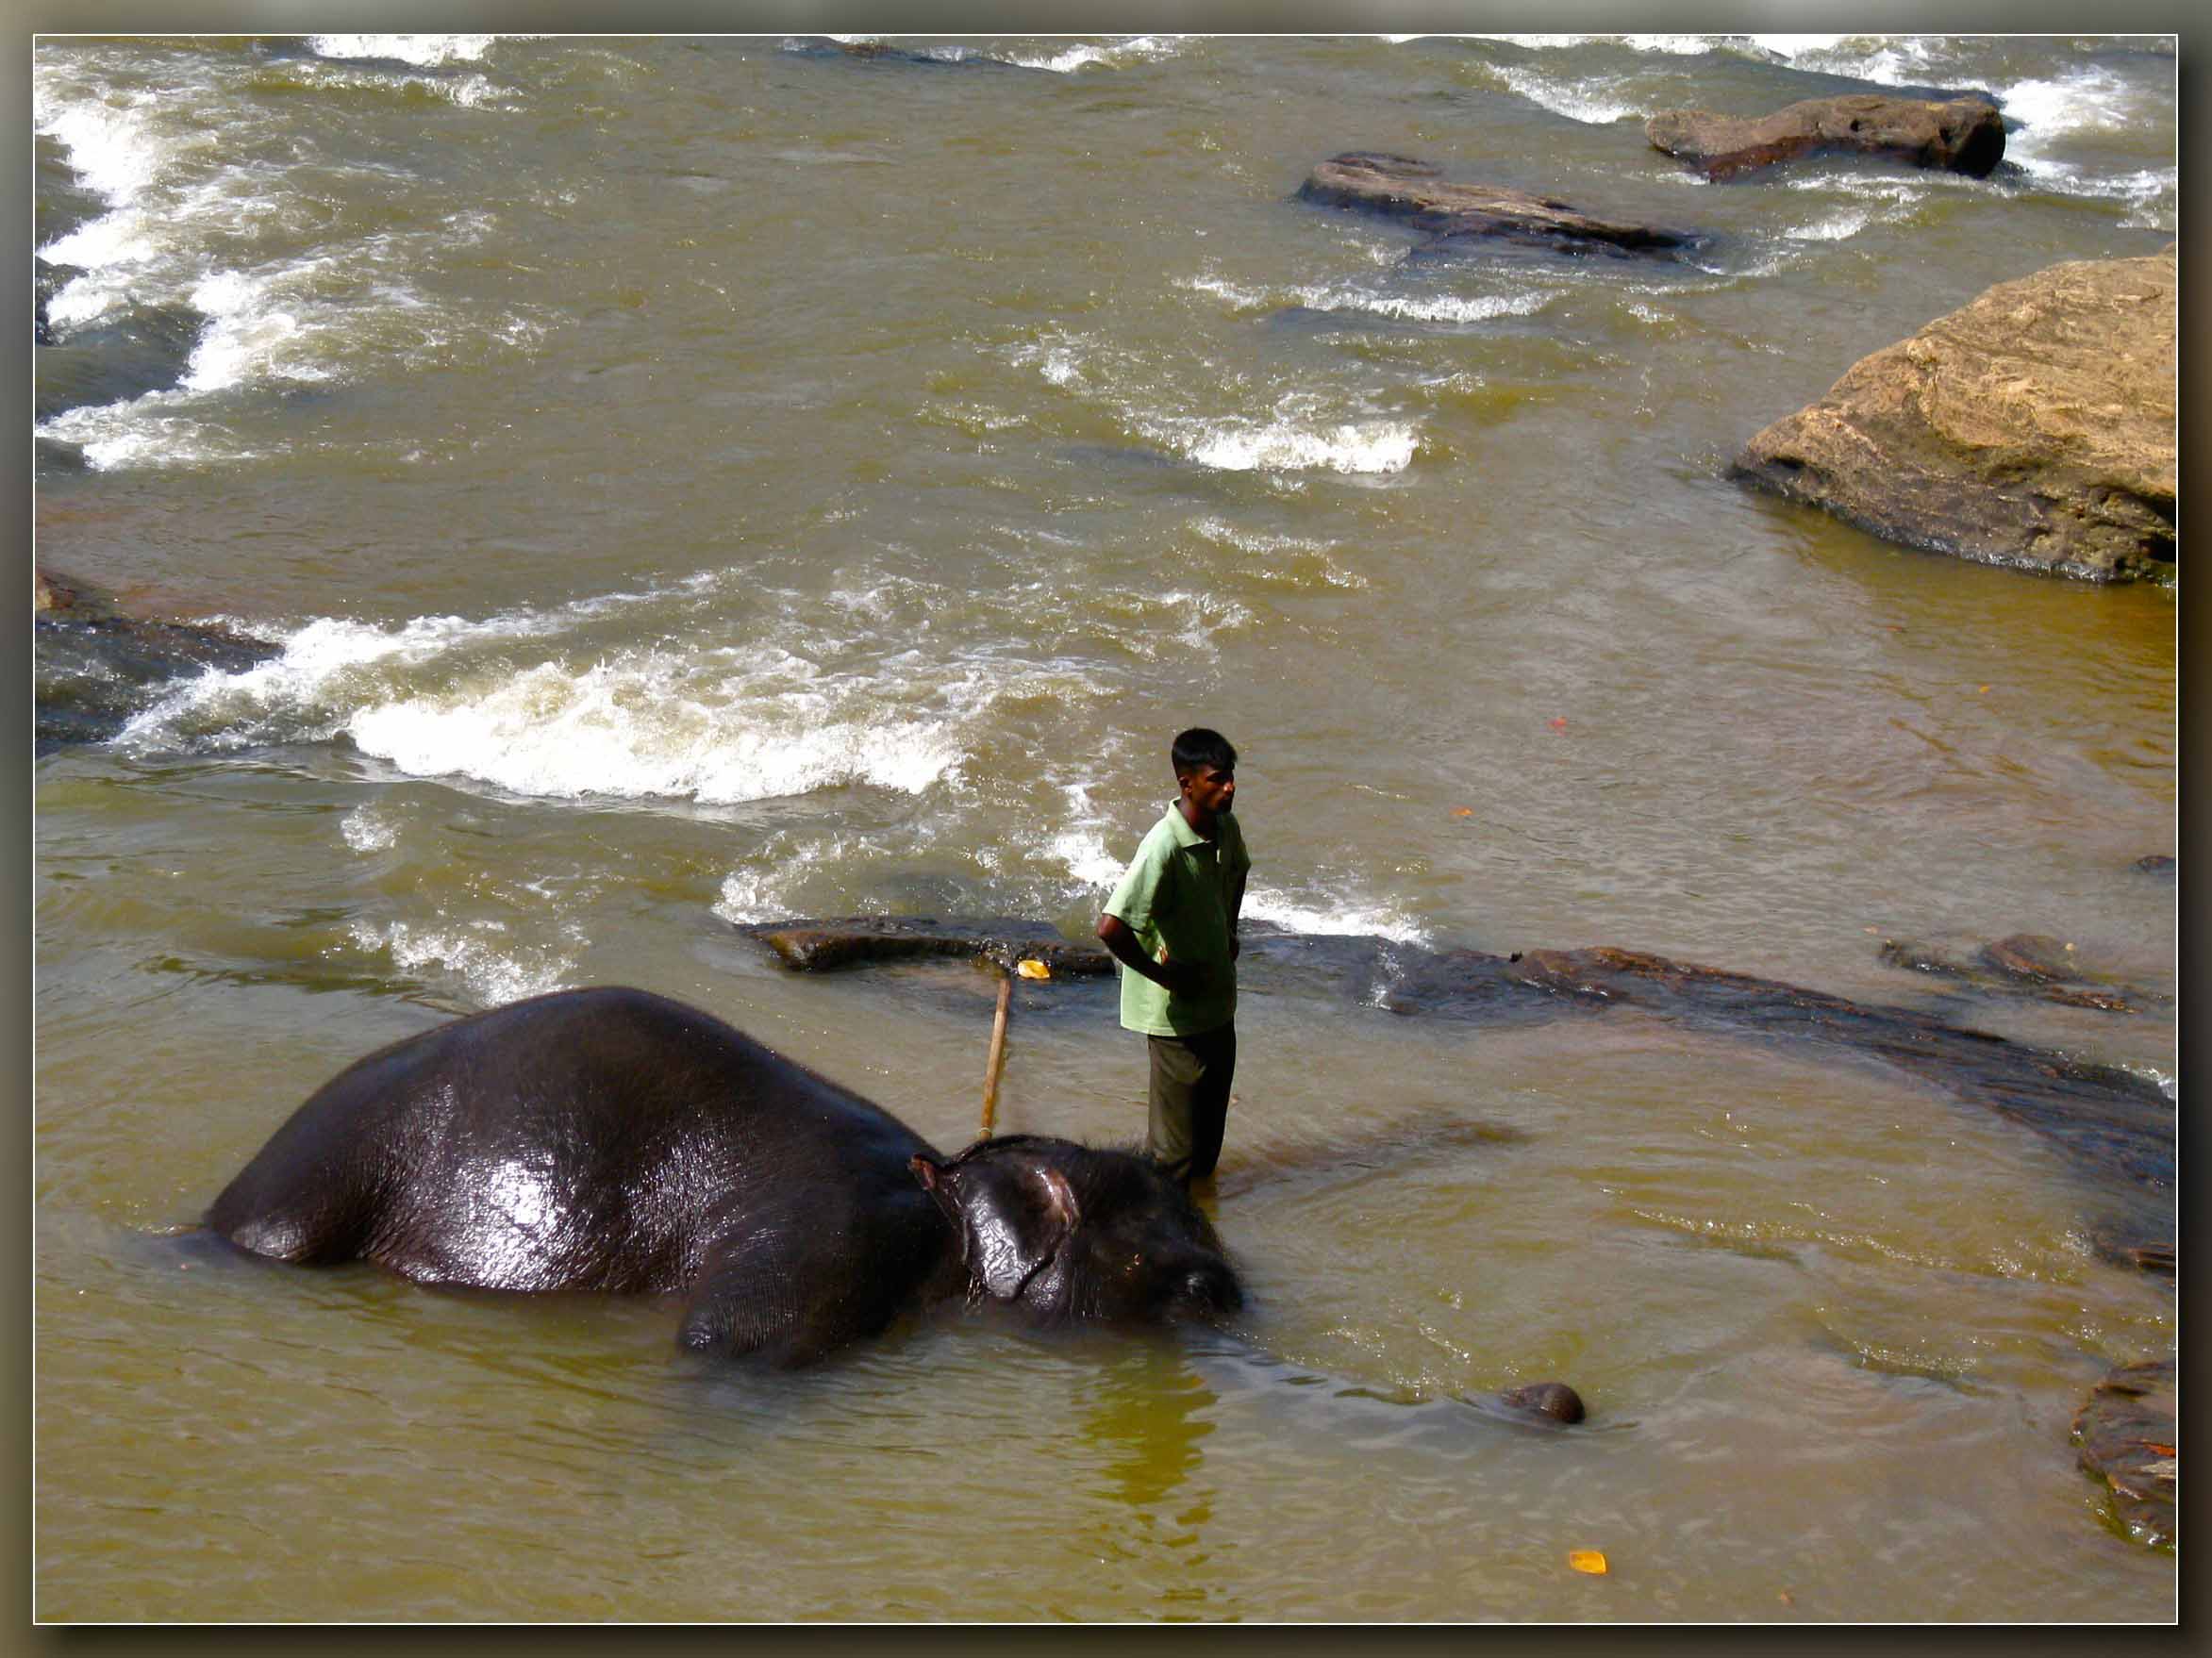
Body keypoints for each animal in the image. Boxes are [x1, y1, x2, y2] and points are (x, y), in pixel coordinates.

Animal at [208, 986, 1247, 1361]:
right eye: (1200, 1286)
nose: (1236, 1301)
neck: (949, 1193)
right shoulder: (838, 1240)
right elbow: (722, 1340)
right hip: (324, 1176)